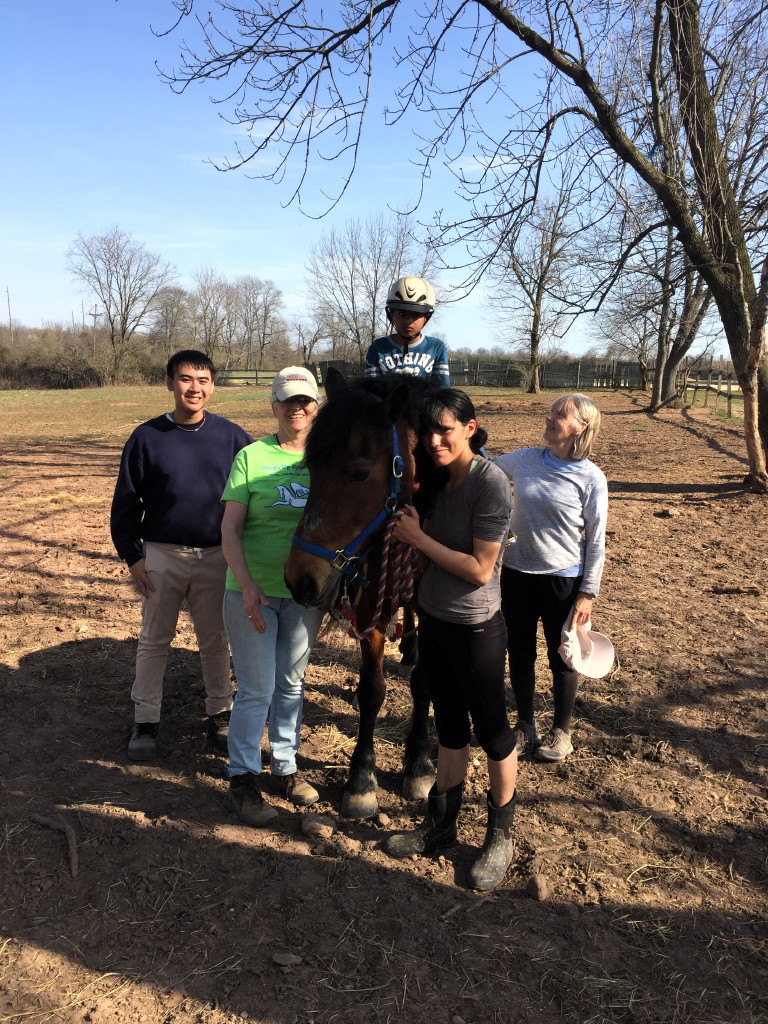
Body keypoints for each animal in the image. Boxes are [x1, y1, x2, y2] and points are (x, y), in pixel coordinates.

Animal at [282, 368, 442, 815]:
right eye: (311, 467)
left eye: (358, 473)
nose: (300, 578)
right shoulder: (371, 608)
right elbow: (373, 690)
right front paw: (361, 779)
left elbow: (424, 682)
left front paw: (419, 762)